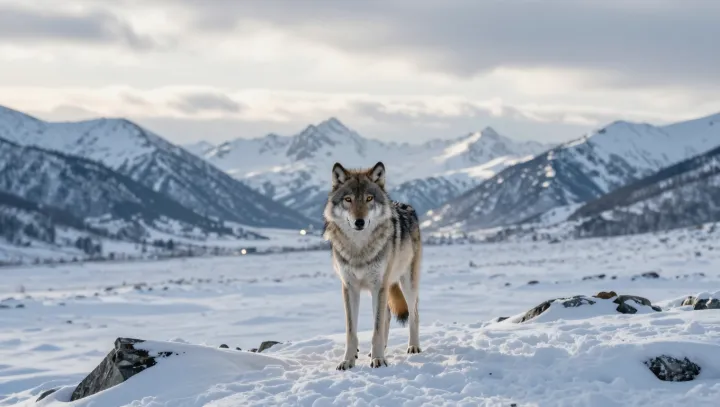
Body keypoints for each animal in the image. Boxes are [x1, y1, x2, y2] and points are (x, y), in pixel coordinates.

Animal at [323, 161, 422, 370]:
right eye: (348, 199)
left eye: (369, 198)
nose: (359, 222)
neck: (360, 249)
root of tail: (405, 205)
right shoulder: (350, 287)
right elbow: (351, 331)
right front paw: (348, 360)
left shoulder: (379, 286)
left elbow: (376, 329)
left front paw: (378, 360)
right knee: (387, 316)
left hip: (407, 284)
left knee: (414, 313)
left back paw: (413, 347)